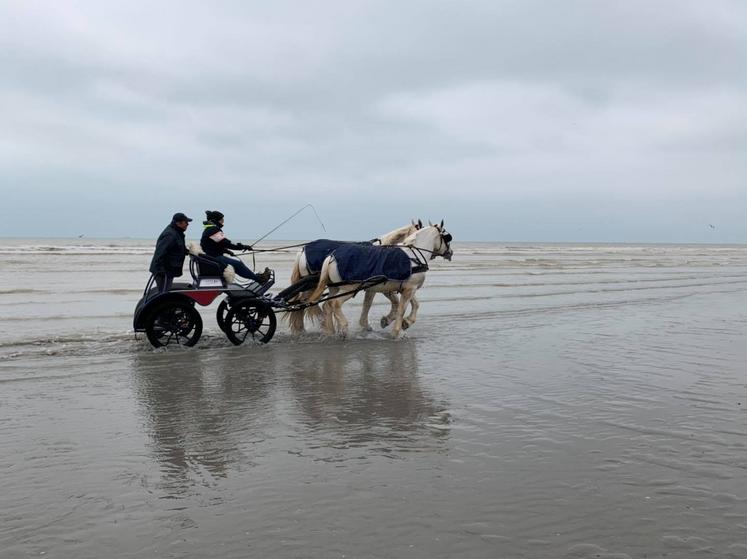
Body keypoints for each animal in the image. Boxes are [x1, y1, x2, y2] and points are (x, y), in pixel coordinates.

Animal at [286, 220, 423, 335]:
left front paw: (394, 320)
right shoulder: (378, 286)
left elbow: (406, 301)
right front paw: (368, 325)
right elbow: (370, 304)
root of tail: (302, 251)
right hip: (313, 286)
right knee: (305, 303)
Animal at [308, 221, 453, 338]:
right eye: (447, 238)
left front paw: (405, 322)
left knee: (327, 305)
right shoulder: (408, 289)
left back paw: (330, 332)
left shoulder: (407, 288)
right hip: (349, 288)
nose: (450, 252)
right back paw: (343, 327)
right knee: (335, 303)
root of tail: (331, 257)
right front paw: (397, 332)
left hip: (334, 287)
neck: (414, 255)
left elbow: (415, 304)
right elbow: (401, 309)